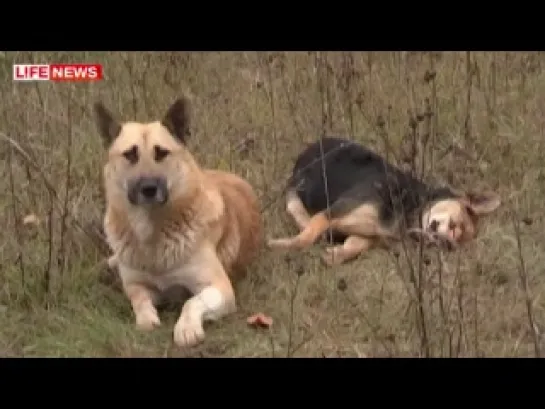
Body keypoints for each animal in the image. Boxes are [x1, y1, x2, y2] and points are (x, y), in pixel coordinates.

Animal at [93, 96, 264, 348]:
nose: (149, 189)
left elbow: (191, 302)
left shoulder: (220, 288)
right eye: (130, 155)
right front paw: (146, 319)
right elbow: (139, 301)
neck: (153, 236)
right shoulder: (136, 286)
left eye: (161, 153)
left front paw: (186, 328)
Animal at [266, 136, 500, 264]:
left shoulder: (367, 236)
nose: (444, 242)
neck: (409, 207)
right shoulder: (334, 211)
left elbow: (353, 247)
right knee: (299, 212)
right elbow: (304, 239)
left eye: (452, 247)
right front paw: (278, 245)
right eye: (455, 224)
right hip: (296, 191)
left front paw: (336, 254)